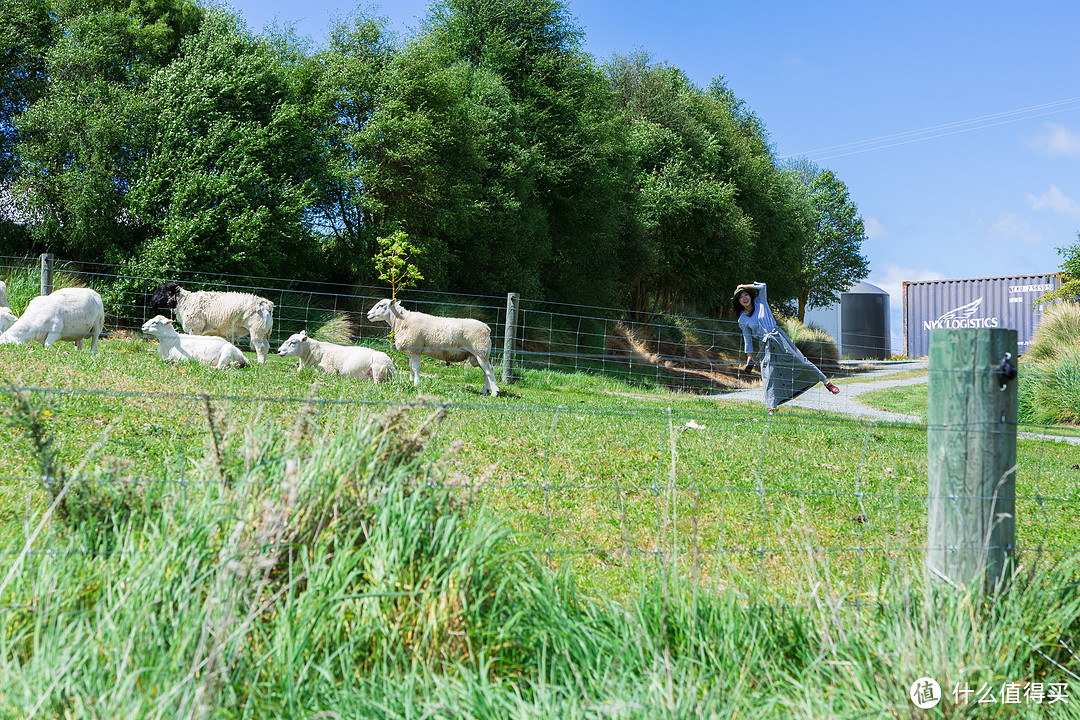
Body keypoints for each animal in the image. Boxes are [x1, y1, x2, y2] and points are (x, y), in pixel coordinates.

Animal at [362, 297, 496, 399]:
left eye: (381, 305)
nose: (368, 314)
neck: (401, 321)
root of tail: (487, 328)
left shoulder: (415, 349)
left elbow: (415, 368)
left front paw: (416, 384)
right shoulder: (411, 350)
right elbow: (410, 367)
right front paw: (411, 381)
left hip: (481, 351)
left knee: (489, 371)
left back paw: (494, 392)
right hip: (477, 355)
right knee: (486, 371)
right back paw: (484, 390)